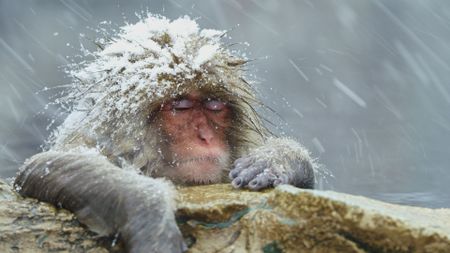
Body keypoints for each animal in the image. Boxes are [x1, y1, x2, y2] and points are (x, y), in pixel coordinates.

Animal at [14, 15, 316, 251]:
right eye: (180, 106)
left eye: (214, 106)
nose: (206, 136)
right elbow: (45, 164)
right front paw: (151, 220)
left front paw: (279, 159)